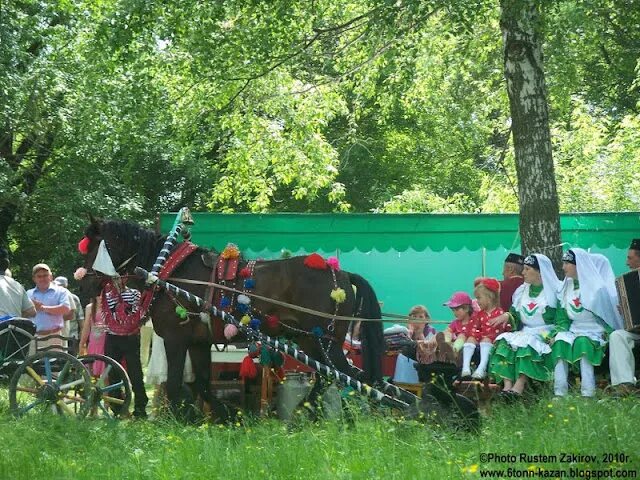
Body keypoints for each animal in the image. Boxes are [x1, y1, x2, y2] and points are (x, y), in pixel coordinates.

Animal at [76, 218, 384, 416]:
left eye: (94, 247)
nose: (82, 284)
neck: (170, 272)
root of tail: (342, 273)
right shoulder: (198, 342)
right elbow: (202, 382)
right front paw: (221, 415)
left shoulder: (176, 339)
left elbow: (175, 383)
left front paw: (173, 420)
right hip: (312, 342)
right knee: (338, 378)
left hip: (324, 340)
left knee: (345, 377)